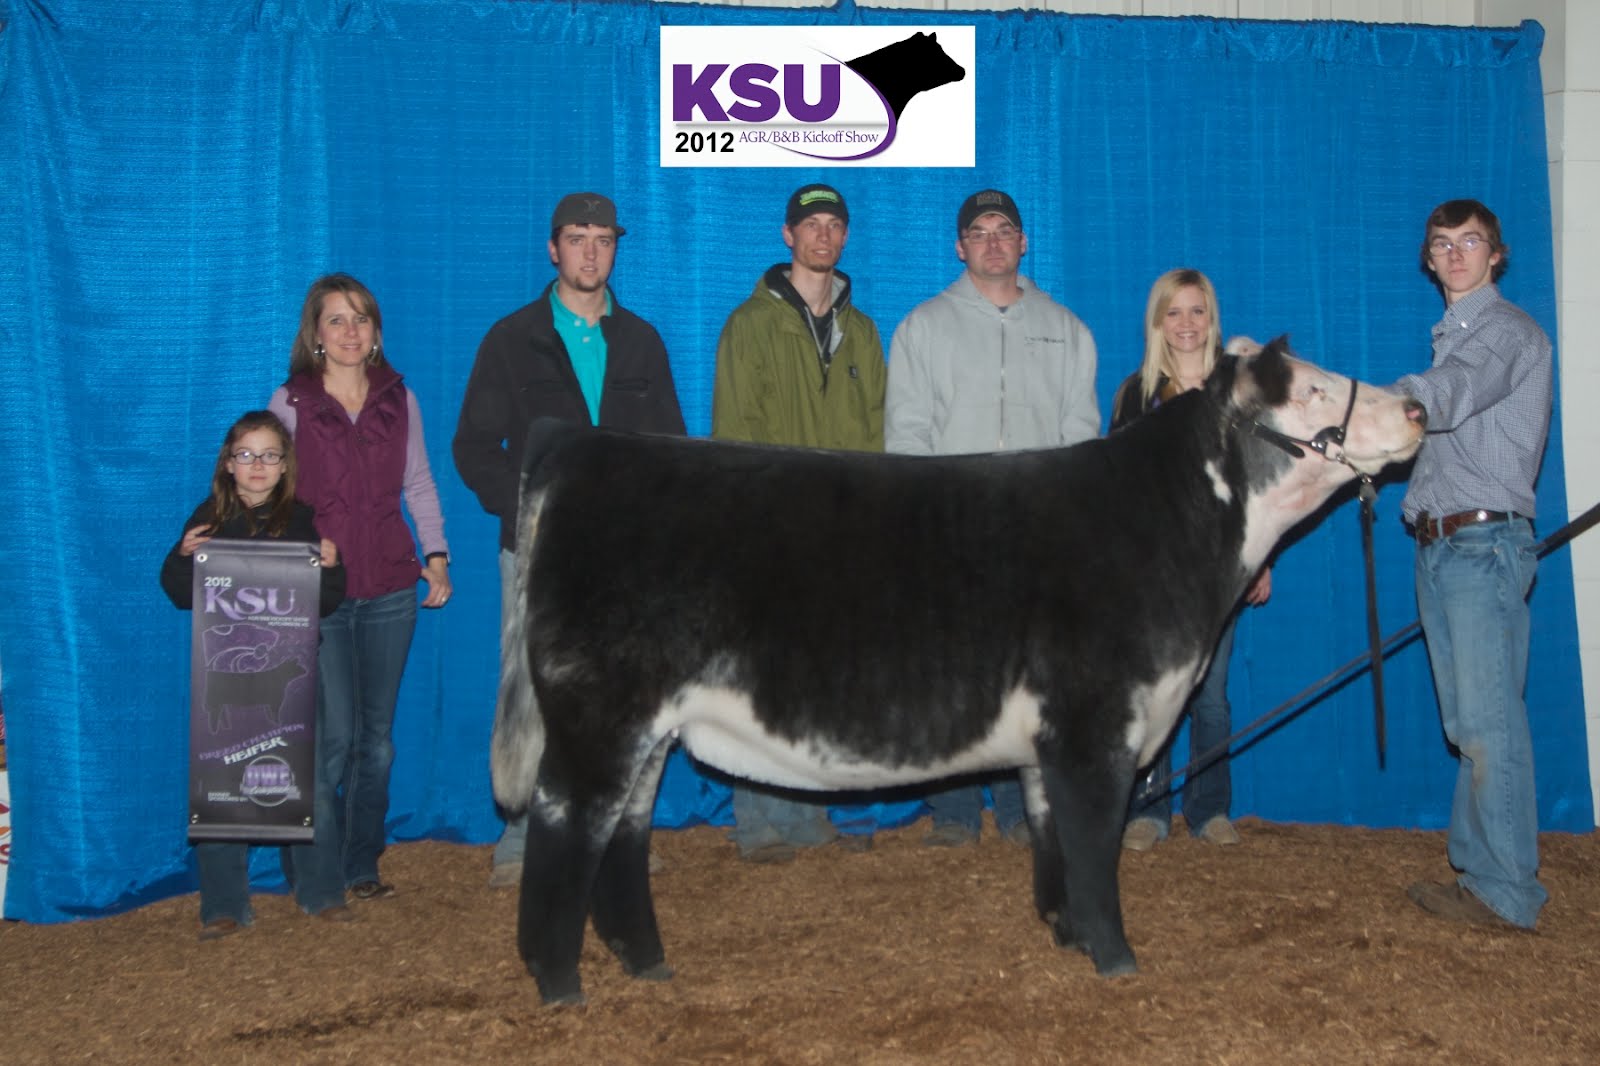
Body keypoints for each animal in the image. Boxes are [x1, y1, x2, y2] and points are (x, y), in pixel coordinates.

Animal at [490, 337, 1426, 1005]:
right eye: (1309, 390)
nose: (1417, 405)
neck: (1171, 526)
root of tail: (577, 447)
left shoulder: (1054, 738)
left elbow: (1054, 838)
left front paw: (1068, 935)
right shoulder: (1096, 724)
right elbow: (1096, 844)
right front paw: (1118, 960)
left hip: (650, 731)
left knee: (624, 835)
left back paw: (645, 962)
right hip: (598, 718)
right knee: (565, 831)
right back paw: (559, 983)